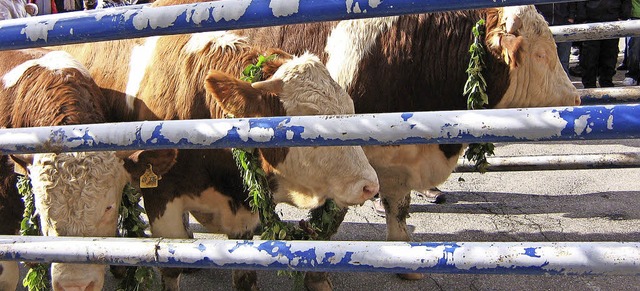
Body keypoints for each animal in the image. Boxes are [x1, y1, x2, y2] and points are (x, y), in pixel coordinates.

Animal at [55, 4, 380, 290]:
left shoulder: (244, 211)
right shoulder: (161, 198)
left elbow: (244, 277)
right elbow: (170, 270)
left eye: (350, 109)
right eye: (310, 123)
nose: (370, 185)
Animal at [234, 4, 580, 288]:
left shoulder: (397, 160)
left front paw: (404, 261)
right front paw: (315, 275)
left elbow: (398, 209)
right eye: (540, 55)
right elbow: (330, 218)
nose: (576, 98)